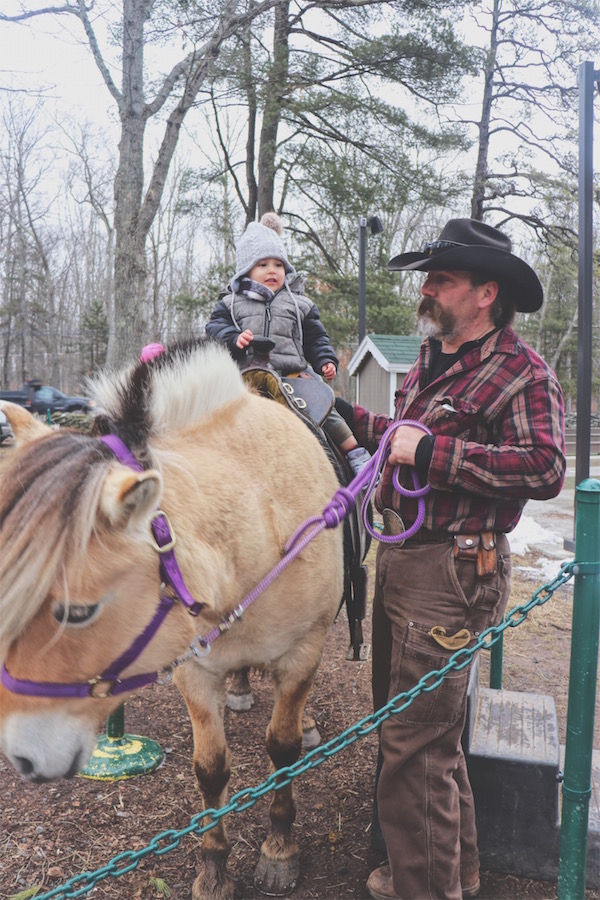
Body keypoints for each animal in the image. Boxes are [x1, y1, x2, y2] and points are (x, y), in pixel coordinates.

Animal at [0, 340, 342, 900]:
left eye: (78, 611)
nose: (24, 759)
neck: (258, 524)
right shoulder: (194, 668)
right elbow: (211, 769)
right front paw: (214, 868)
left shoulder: (301, 654)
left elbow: (283, 747)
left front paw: (279, 848)